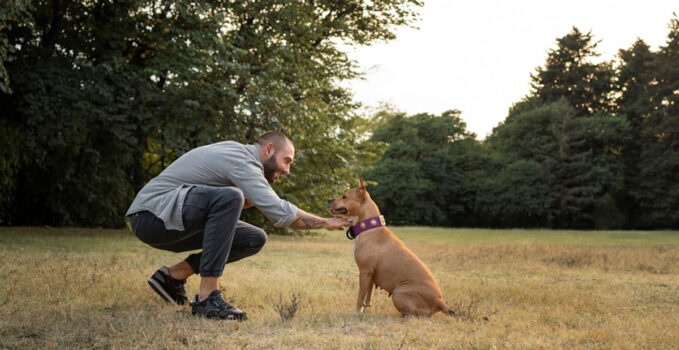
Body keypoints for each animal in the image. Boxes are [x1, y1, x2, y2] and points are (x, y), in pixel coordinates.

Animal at [330, 178, 456, 318]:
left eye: (344, 196)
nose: (329, 200)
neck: (369, 227)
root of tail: (440, 302)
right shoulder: (370, 274)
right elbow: (367, 296)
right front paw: (365, 310)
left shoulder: (364, 272)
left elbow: (360, 297)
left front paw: (357, 313)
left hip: (398, 294)